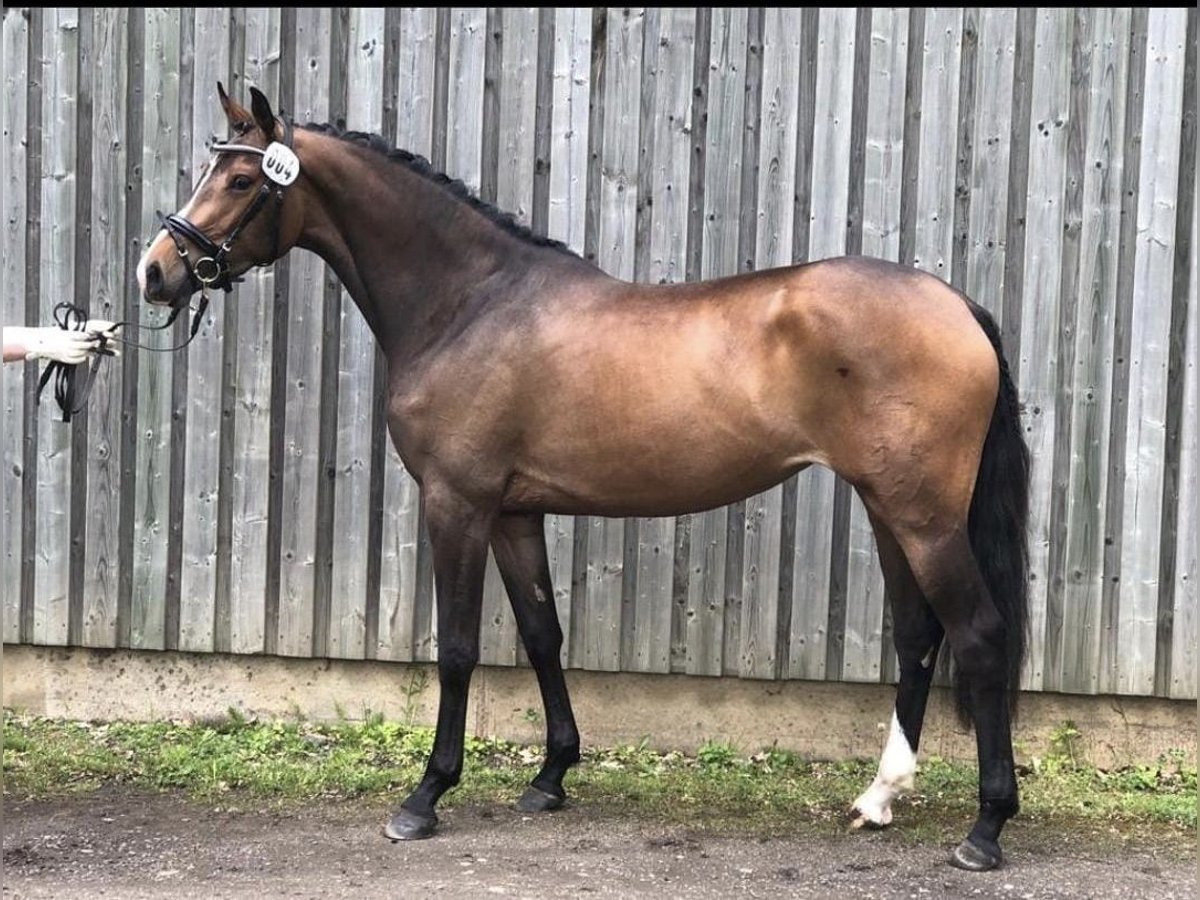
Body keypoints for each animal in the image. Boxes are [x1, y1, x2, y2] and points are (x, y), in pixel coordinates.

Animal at [136, 84, 1031, 873]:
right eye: (210, 168)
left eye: (241, 180)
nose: (156, 270)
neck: (469, 303)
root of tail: (957, 306)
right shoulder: (513, 514)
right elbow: (542, 633)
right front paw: (551, 777)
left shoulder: (456, 504)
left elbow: (457, 647)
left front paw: (425, 797)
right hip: (888, 506)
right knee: (918, 637)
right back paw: (879, 798)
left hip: (924, 518)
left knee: (980, 636)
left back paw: (985, 829)